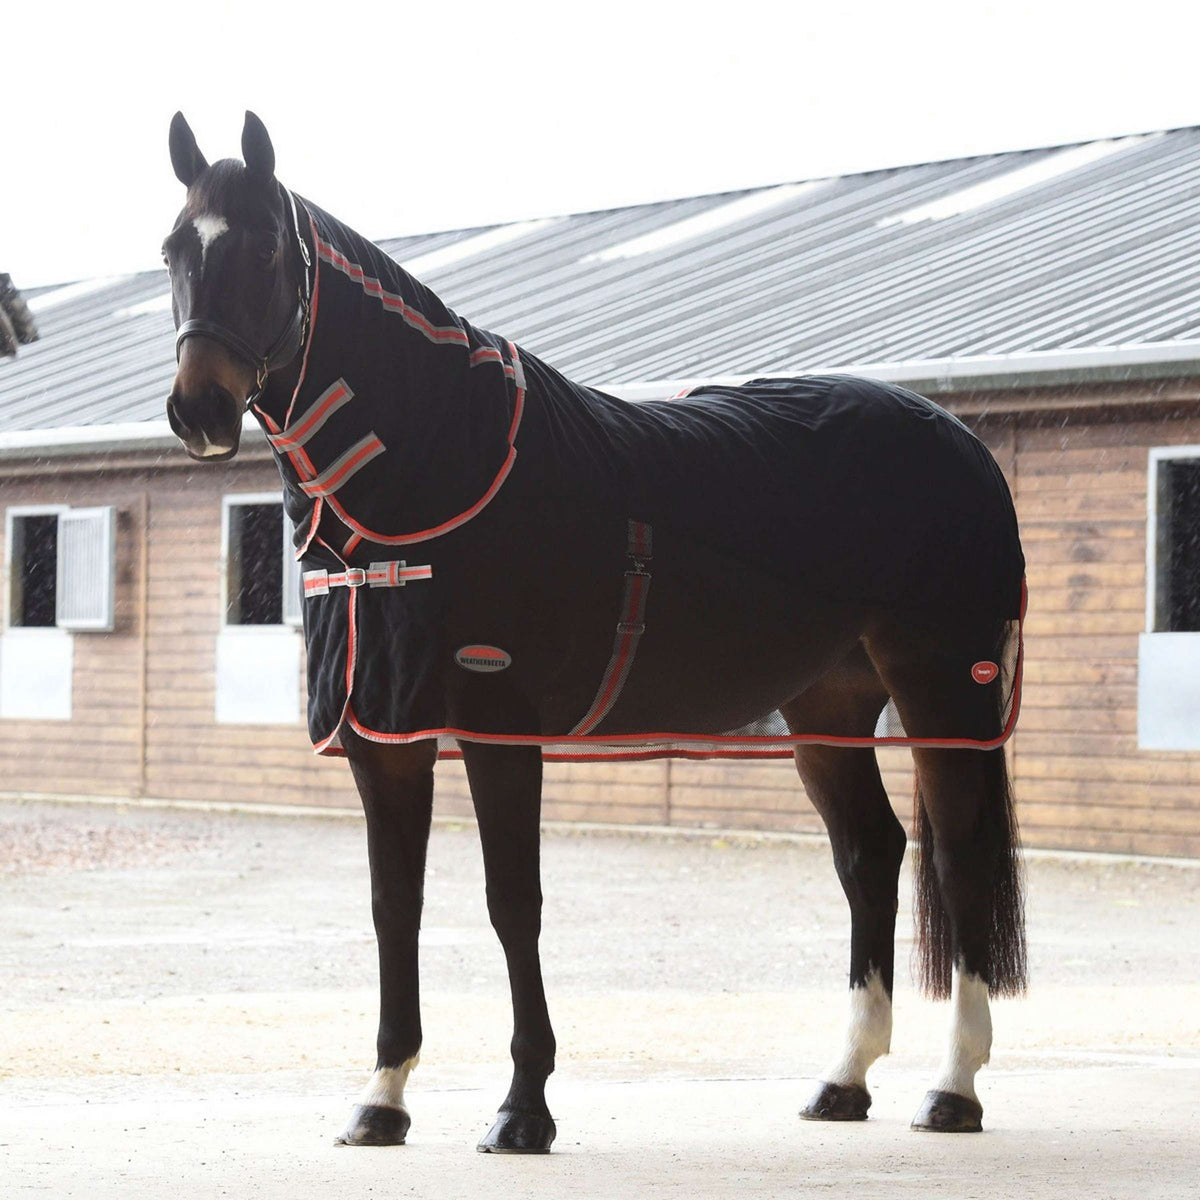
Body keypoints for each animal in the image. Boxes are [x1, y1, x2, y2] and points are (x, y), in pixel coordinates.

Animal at [162, 112, 1022, 1152]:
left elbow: (512, 904)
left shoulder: (497, 728)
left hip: (943, 690)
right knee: (871, 856)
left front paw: (522, 1108)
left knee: (959, 858)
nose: (198, 411)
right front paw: (382, 1099)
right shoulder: (387, 741)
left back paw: (955, 1089)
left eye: (263, 248)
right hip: (828, 707)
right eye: (174, 249)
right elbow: (392, 906)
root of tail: (962, 442)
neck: (440, 472)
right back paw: (844, 1080)